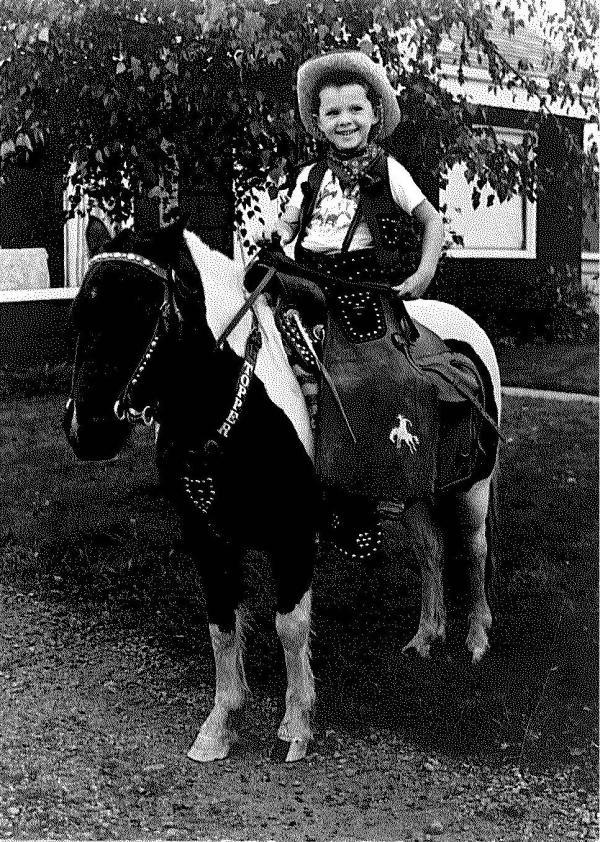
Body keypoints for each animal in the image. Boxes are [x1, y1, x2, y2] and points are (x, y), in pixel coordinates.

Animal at [64, 218, 502, 760]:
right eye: (79, 313)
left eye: (146, 310)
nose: (89, 430)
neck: (234, 405)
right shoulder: (205, 537)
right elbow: (222, 625)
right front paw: (219, 725)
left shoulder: (293, 538)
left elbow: (289, 627)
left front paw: (296, 724)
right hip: (415, 491)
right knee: (431, 551)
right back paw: (425, 636)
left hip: (473, 489)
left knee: (474, 550)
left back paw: (477, 639)